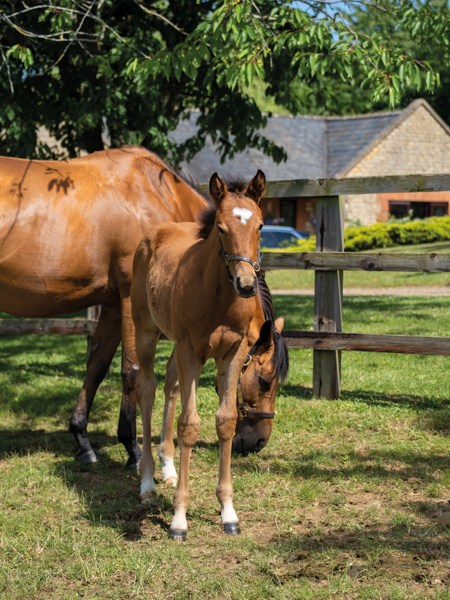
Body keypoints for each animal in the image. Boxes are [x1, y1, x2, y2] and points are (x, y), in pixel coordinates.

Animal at [130, 169, 266, 540]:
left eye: (261, 226)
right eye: (221, 227)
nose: (246, 284)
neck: (218, 296)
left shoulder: (233, 352)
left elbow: (226, 421)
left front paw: (228, 512)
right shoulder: (191, 350)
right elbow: (189, 425)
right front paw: (178, 518)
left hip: (174, 342)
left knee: (169, 385)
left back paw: (168, 467)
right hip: (146, 332)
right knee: (145, 389)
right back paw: (148, 483)